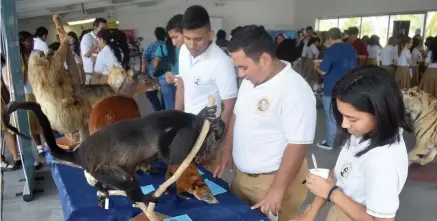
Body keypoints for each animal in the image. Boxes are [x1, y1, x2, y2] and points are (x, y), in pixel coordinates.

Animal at [4, 100, 225, 207]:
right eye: (213, 141)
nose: (210, 151)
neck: (182, 122)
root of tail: (79, 153)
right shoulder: (166, 125)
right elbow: (171, 158)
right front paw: (202, 117)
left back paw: (105, 191)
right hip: (99, 168)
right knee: (126, 180)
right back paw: (141, 199)